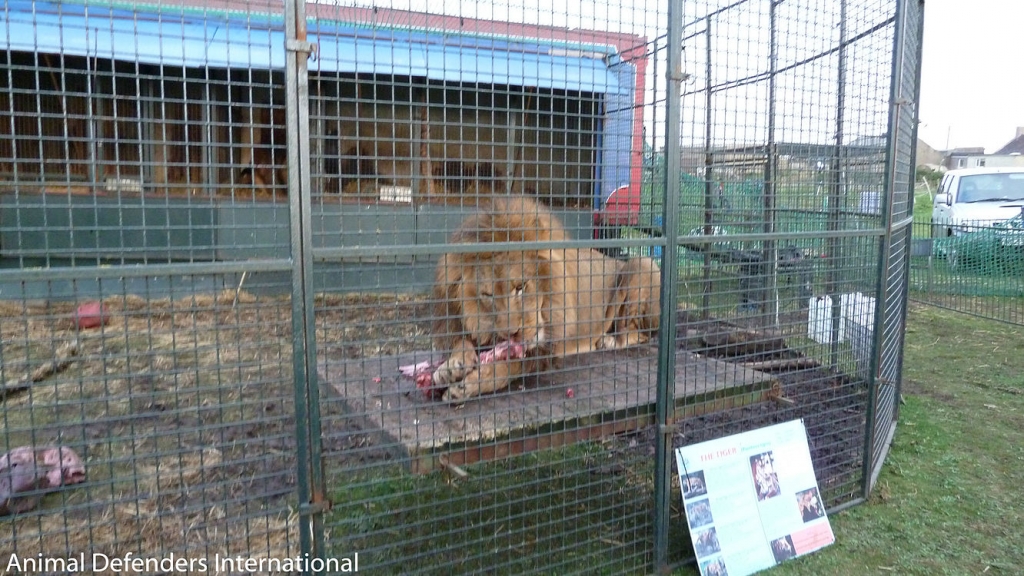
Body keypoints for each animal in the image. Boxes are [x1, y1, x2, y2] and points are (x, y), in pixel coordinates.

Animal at [431, 196, 661, 402]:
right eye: (488, 295)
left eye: (521, 287)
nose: (512, 334)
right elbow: (461, 342)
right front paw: (450, 367)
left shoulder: (546, 353)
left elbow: (507, 367)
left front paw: (469, 384)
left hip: (643, 264)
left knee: (641, 334)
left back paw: (609, 340)